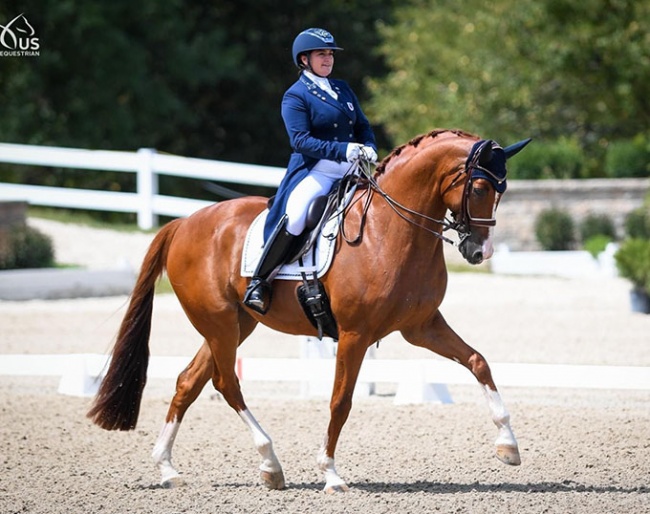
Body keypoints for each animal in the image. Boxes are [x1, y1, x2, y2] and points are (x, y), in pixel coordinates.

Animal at [88, 128, 528, 492]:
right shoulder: (355, 334)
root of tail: (182, 223)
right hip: (219, 325)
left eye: (502, 190)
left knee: (187, 382)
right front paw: (330, 474)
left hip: (234, 325)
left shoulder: (421, 326)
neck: (389, 230)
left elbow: (478, 362)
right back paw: (270, 463)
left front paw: (508, 445)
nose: (479, 251)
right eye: (478, 188)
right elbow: (340, 401)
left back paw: (168, 468)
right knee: (226, 384)